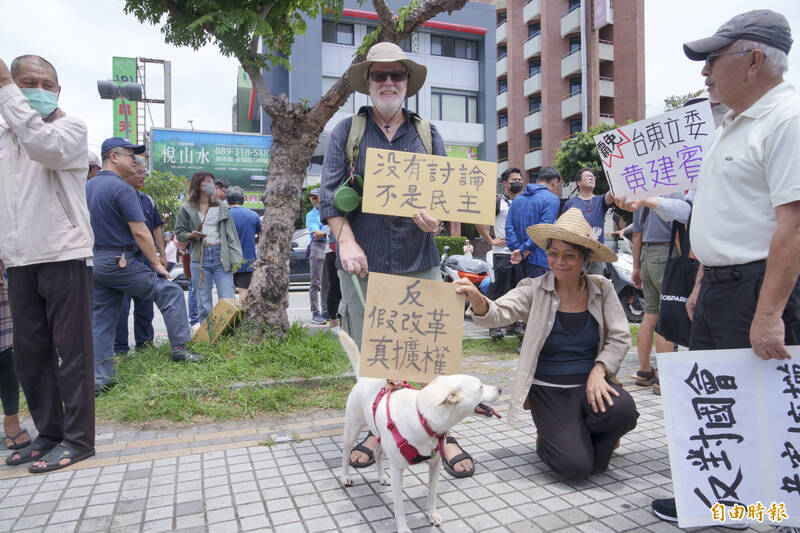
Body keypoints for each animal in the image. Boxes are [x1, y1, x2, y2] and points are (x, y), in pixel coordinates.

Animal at [338, 330, 500, 528]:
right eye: (481, 387)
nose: (500, 389)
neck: (423, 416)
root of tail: (364, 380)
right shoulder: (397, 470)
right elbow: (399, 506)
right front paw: (403, 528)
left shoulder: (435, 464)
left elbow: (432, 494)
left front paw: (432, 515)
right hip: (352, 429)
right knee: (345, 453)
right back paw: (345, 477)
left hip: (380, 436)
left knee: (377, 454)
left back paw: (382, 477)